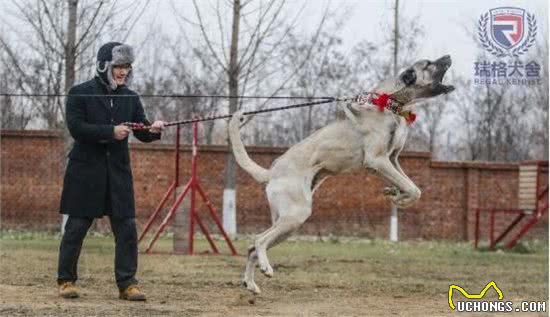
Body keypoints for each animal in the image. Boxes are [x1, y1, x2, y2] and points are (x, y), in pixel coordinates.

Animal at [229, 55, 458, 294]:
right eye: (429, 64)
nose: (448, 56)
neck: (389, 102)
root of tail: (272, 171)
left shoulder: (392, 159)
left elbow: (412, 186)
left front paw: (395, 194)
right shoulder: (377, 160)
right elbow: (412, 188)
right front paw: (400, 197)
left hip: (287, 223)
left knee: (252, 247)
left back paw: (251, 284)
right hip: (295, 215)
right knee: (258, 240)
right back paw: (265, 268)